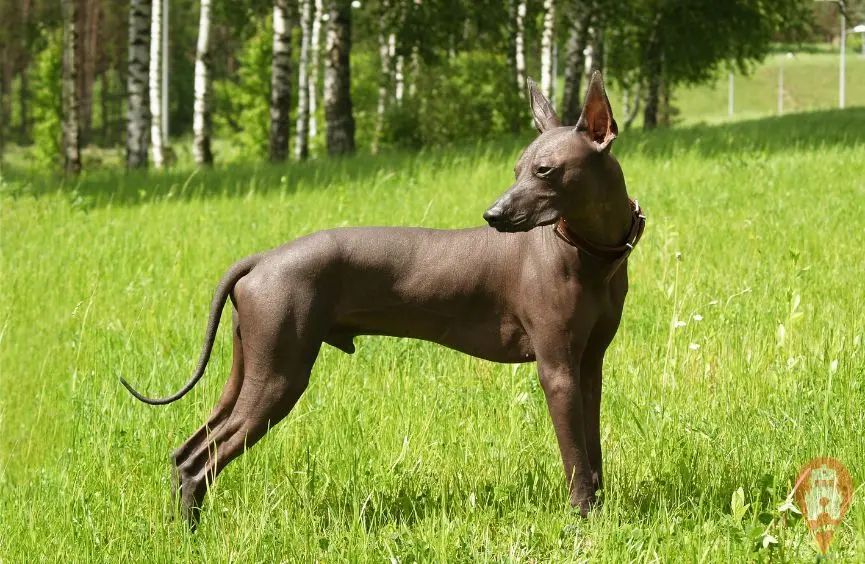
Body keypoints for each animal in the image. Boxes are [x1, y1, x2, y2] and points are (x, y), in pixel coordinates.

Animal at [123, 72, 648, 528]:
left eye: (544, 170)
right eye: (517, 170)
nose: (493, 215)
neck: (589, 252)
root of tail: (261, 260)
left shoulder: (588, 367)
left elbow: (592, 451)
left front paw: (600, 510)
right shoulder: (556, 371)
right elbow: (575, 457)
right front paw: (584, 520)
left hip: (247, 370)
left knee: (188, 453)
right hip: (278, 378)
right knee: (200, 462)